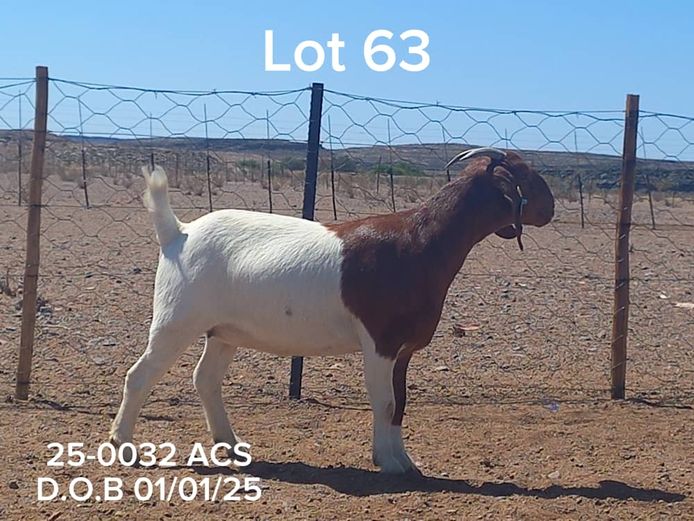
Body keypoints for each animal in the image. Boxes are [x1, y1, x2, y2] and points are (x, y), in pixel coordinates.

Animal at [109, 148, 555, 474]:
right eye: (524, 173)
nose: (550, 207)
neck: (419, 242)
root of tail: (178, 232)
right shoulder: (379, 341)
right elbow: (385, 402)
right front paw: (389, 463)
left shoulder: (403, 349)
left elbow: (401, 403)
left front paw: (405, 462)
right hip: (177, 319)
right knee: (140, 375)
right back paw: (125, 446)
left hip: (223, 331)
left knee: (205, 379)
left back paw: (232, 446)